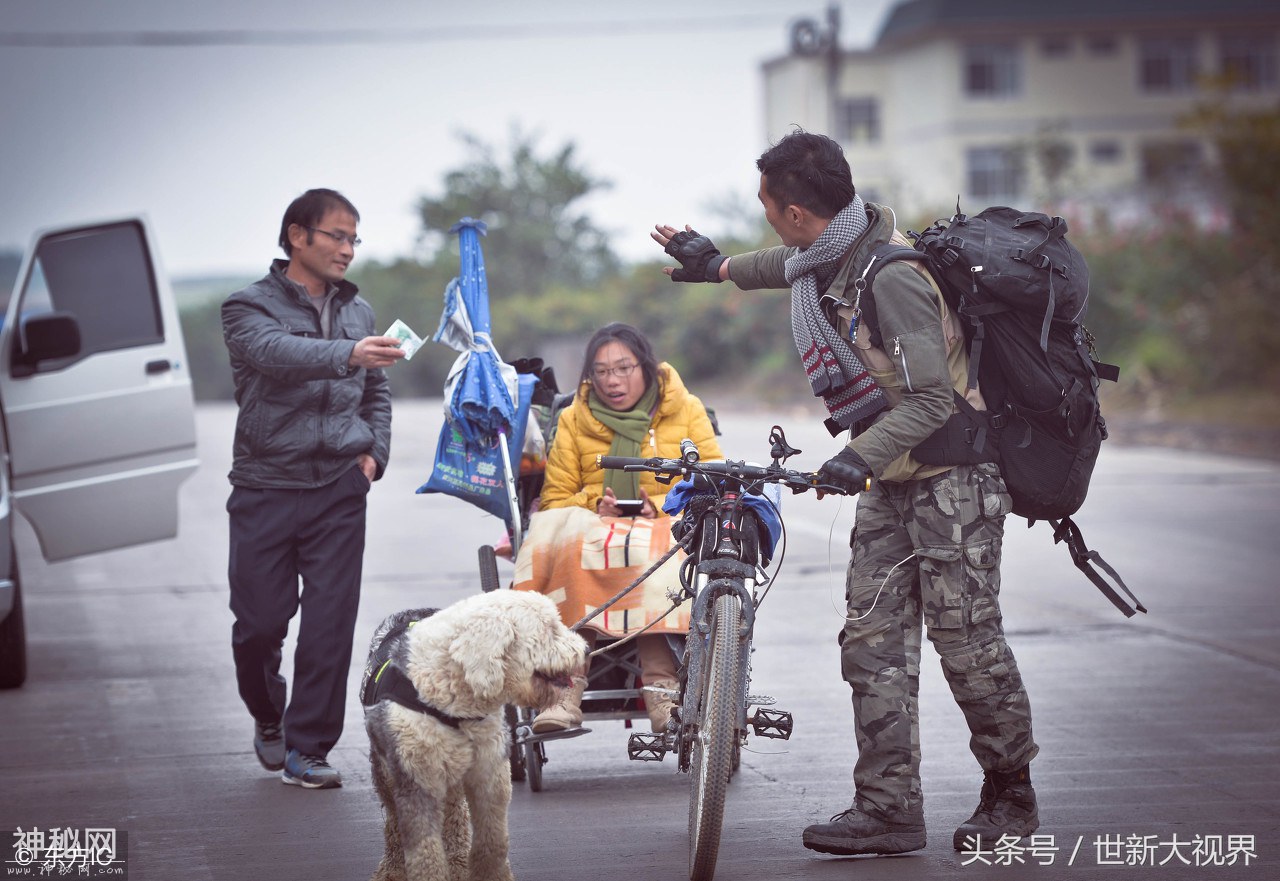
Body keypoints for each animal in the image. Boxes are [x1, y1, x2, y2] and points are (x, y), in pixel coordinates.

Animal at [363, 589, 586, 881]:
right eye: (549, 628)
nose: (585, 650)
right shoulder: (417, 779)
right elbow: (425, 851)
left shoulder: (489, 774)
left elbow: (493, 840)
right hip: (386, 772)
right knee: (392, 822)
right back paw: (391, 869)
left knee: (454, 817)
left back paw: (458, 865)